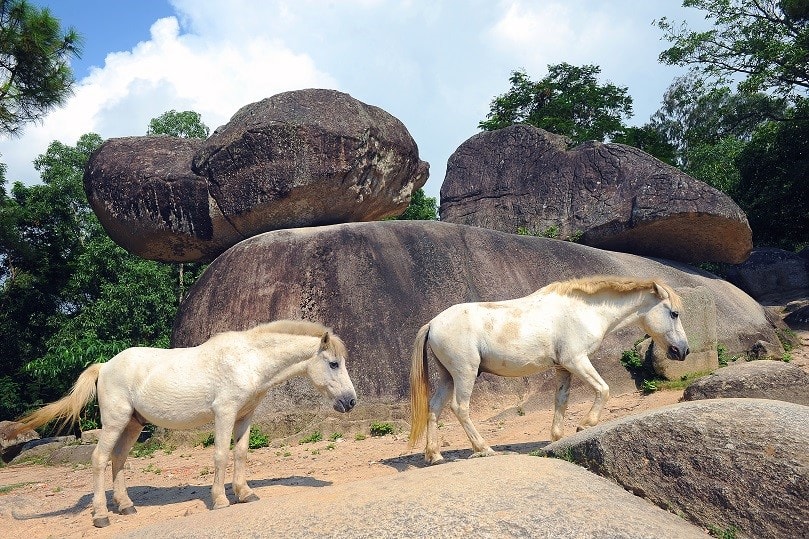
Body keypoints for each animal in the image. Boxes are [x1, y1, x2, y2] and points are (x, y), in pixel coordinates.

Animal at [11, 320, 356, 528]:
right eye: (333, 364)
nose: (351, 402)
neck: (248, 361)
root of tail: (105, 366)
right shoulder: (224, 413)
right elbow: (221, 455)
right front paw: (220, 500)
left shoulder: (244, 416)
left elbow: (241, 454)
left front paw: (245, 493)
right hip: (115, 422)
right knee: (99, 459)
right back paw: (101, 515)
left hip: (133, 425)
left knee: (117, 460)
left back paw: (126, 506)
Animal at [410, 276, 688, 466]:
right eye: (674, 313)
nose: (683, 350)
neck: (583, 311)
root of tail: (433, 323)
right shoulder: (577, 360)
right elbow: (603, 389)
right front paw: (585, 424)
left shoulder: (563, 368)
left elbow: (561, 401)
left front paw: (557, 436)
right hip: (465, 374)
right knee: (460, 408)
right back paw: (484, 448)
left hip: (448, 377)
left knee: (434, 408)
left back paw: (435, 455)